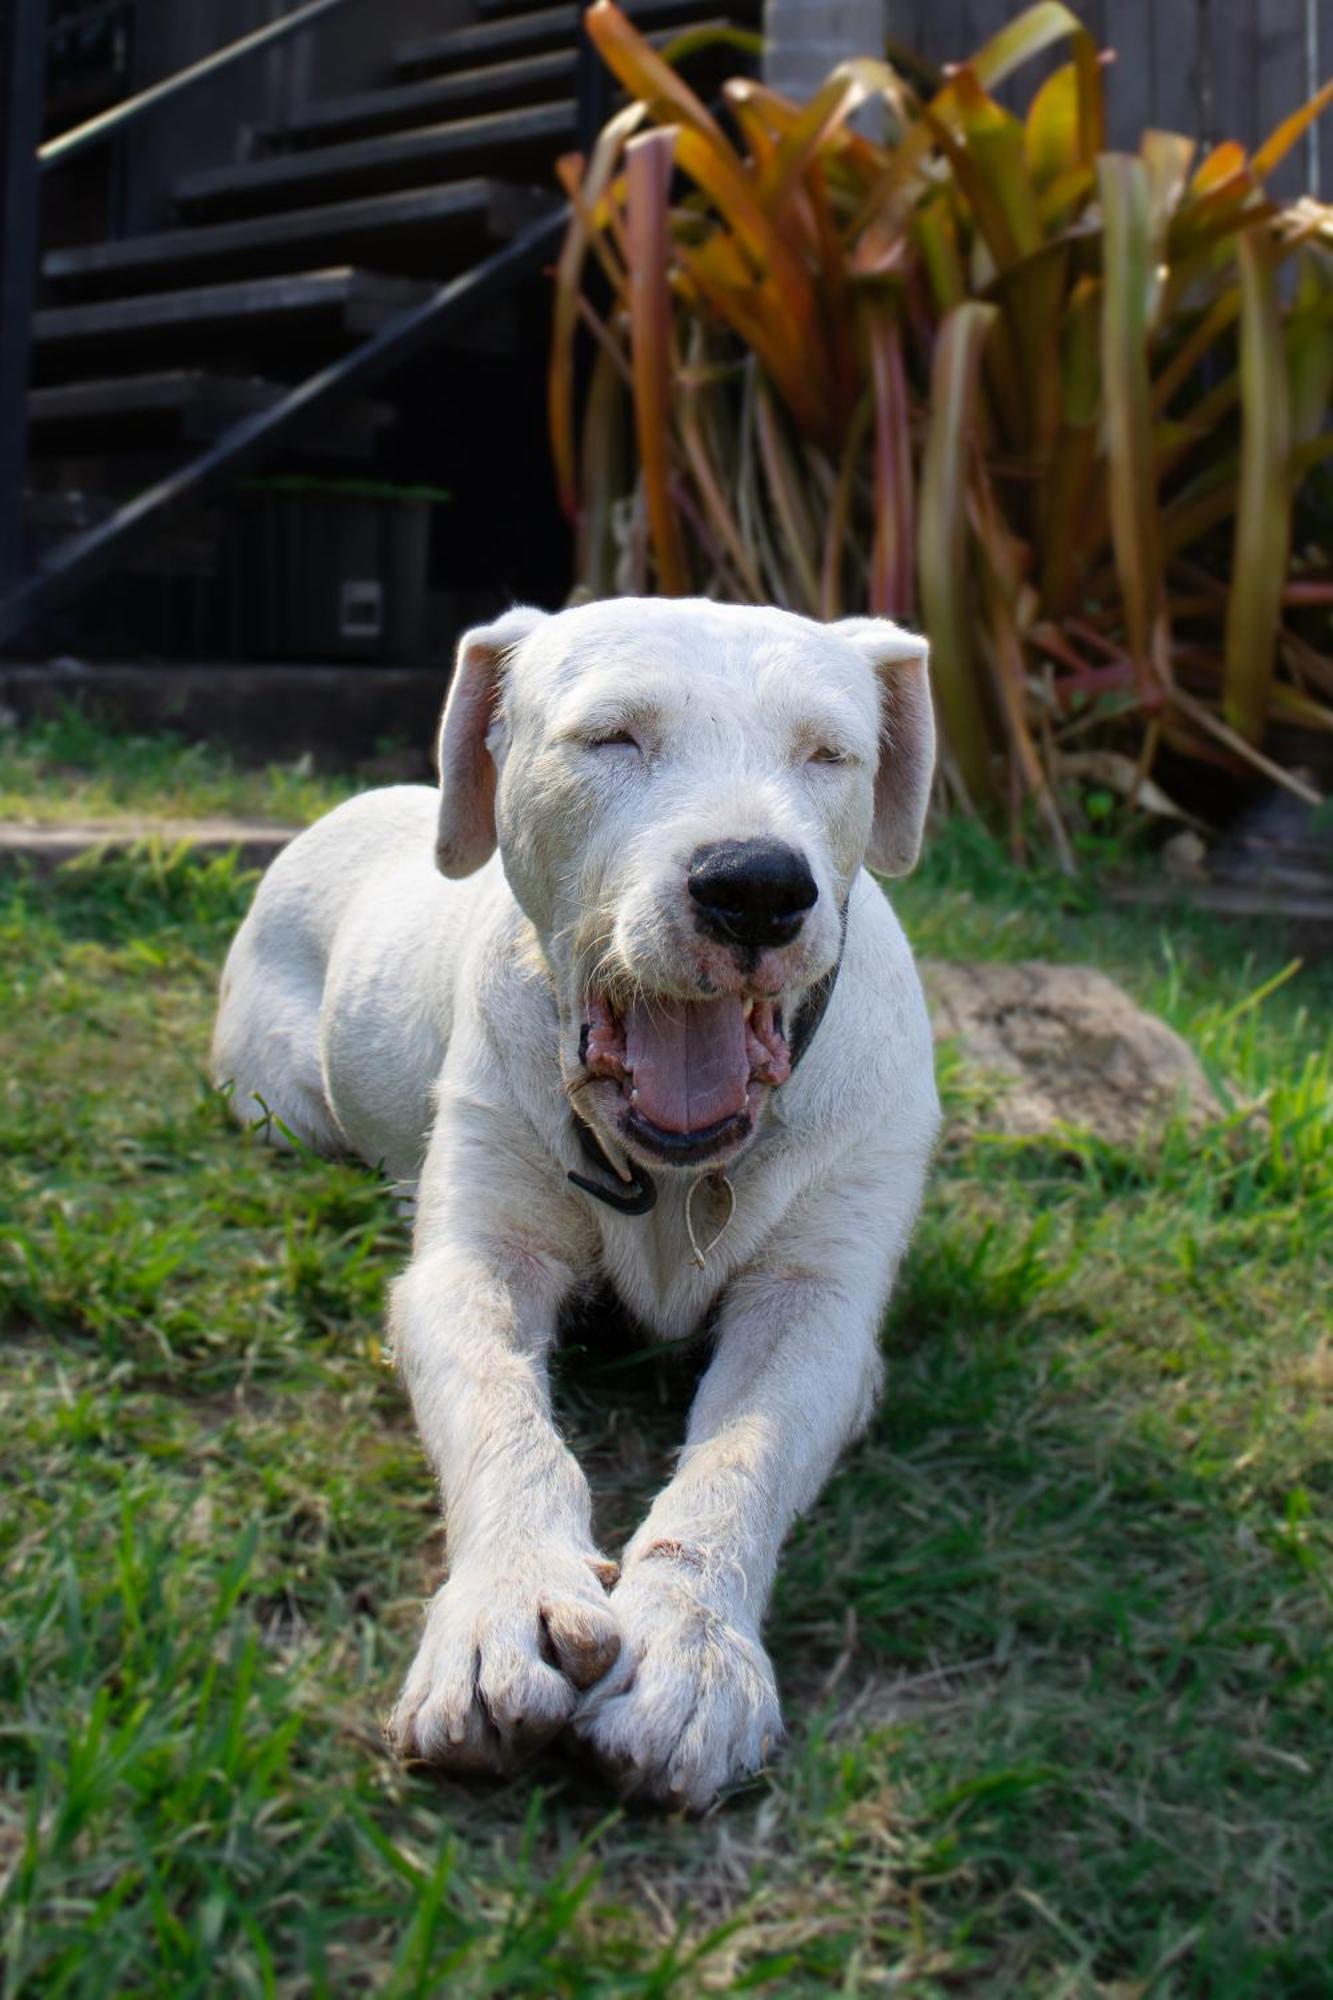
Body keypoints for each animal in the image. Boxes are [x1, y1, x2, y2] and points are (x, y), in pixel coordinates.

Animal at [213, 592, 940, 1816]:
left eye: (829, 753)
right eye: (612, 737)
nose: (755, 884)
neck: (675, 1173)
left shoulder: (822, 1310)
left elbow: (741, 1457)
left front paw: (691, 1649)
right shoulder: (474, 1265)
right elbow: (506, 1421)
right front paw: (504, 1608)